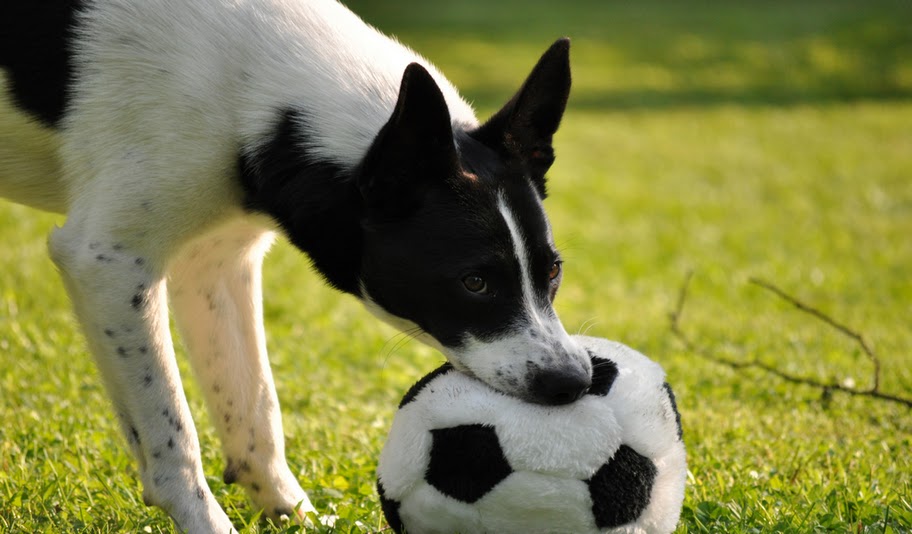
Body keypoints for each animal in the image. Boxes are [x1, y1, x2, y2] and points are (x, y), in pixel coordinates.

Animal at [1, 0, 592, 532]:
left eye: (553, 272)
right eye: (474, 282)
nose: (575, 381)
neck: (249, 90)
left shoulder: (216, 261)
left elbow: (256, 407)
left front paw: (291, 513)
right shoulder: (108, 261)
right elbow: (173, 434)